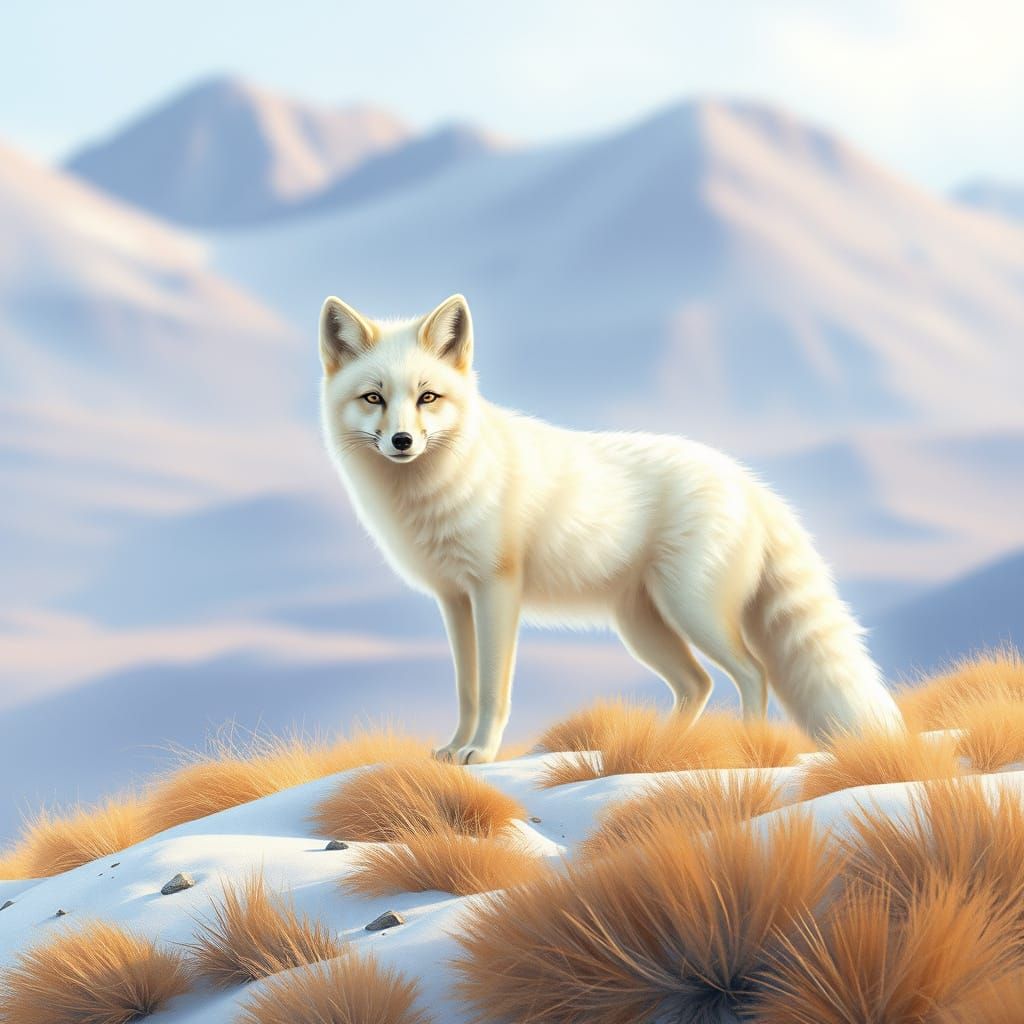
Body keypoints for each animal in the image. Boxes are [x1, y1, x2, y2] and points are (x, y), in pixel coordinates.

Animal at [318, 293, 904, 763]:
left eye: (428, 397)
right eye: (373, 398)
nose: (401, 441)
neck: (436, 488)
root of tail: (748, 480)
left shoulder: (496, 590)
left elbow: (492, 690)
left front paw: (480, 754)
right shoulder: (454, 599)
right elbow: (466, 688)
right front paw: (454, 748)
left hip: (693, 612)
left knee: (752, 672)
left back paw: (746, 747)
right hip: (643, 627)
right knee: (697, 683)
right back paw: (665, 749)